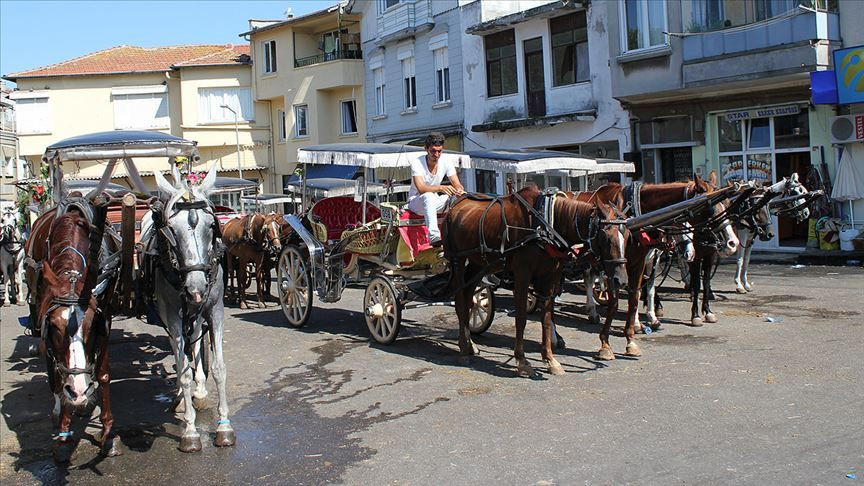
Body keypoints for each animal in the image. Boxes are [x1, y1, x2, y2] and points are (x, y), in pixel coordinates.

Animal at [23, 203, 121, 462]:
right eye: (55, 326)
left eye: (92, 325)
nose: (78, 390)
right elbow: (58, 373)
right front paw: (64, 435)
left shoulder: (105, 314)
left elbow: (104, 374)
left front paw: (108, 433)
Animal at [142, 166, 236, 452]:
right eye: (171, 229)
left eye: (211, 225)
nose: (196, 288)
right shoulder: (172, 317)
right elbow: (182, 371)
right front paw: (191, 431)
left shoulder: (215, 311)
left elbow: (219, 368)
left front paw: (224, 426)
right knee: (179, 353)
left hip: (196, 315)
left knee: (194, 341)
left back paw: (201, 390)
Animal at [446, 186, 628, 376]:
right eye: (607, 238)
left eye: (627, 236)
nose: (621, 280)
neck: (545, 223)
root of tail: (456, 205)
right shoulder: (522, 274)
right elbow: (521, 318)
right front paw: (522, 360)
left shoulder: (550, 276)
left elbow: (546, 318)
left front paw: (550, 359)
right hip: (458, 260)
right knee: (460, 301)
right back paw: (463, 348)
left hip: (479, 264)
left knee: (469, 297)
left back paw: (471, 344)